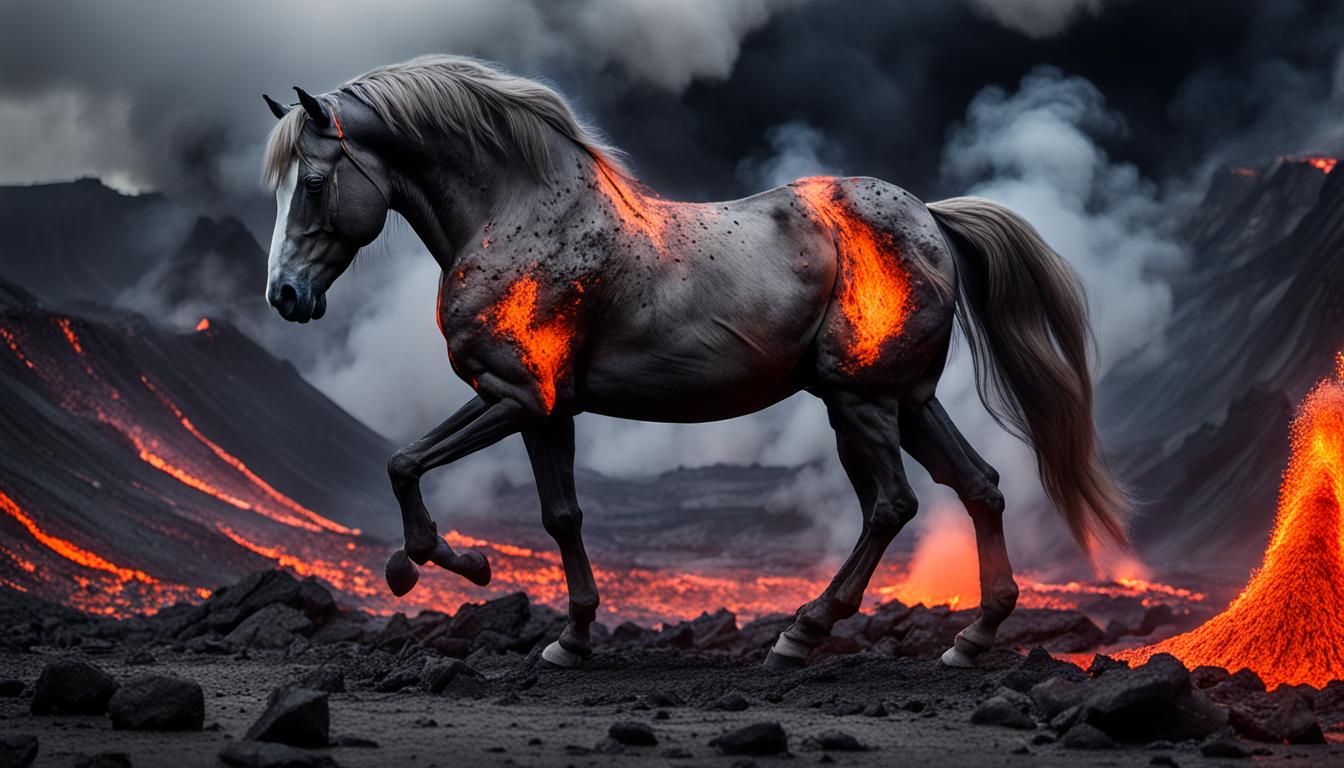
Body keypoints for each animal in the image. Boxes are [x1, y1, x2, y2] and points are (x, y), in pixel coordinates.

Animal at [260, 54, 1129, 670]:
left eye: (315, 182)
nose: (285, 295)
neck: (516, 217)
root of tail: (933, 219)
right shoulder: (545, 408)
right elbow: (559, 514)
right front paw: (570, 637)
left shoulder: (511, 395)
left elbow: (405, 463)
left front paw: (443, 565)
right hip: (907, 399)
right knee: (979, 486)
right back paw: (972, 639)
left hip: (860, 402)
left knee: (892, 505)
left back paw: (802, 634)